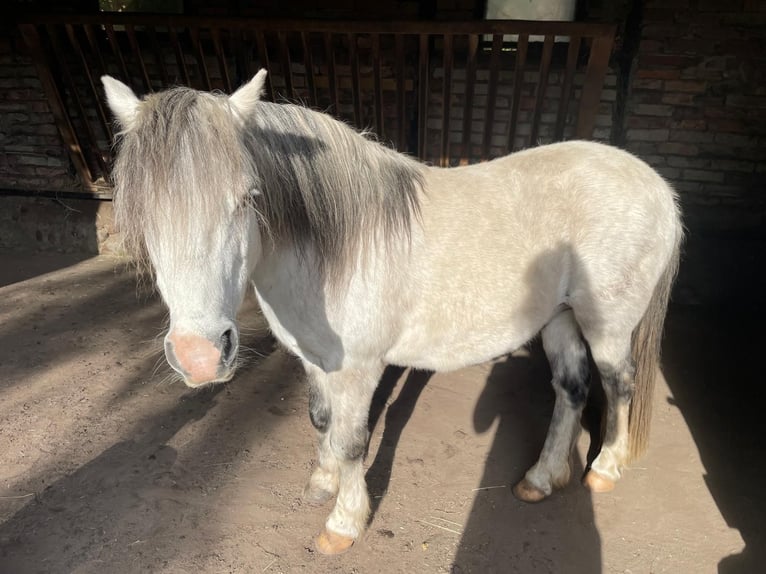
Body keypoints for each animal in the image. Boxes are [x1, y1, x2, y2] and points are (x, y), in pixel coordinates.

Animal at [102, 70, 682, 555]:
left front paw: (343, 524)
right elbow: (322, 420)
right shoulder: (312, 358)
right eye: (142, 213)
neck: (331, 250)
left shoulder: (359, 368)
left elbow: (353, 441)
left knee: (619, 385)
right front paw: (322, 482)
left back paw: (604, 470)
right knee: (572, 390)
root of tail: (655, 185)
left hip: (607, 327)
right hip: (559, 319)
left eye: (248, 198)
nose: (199, 358)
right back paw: (540, 481)